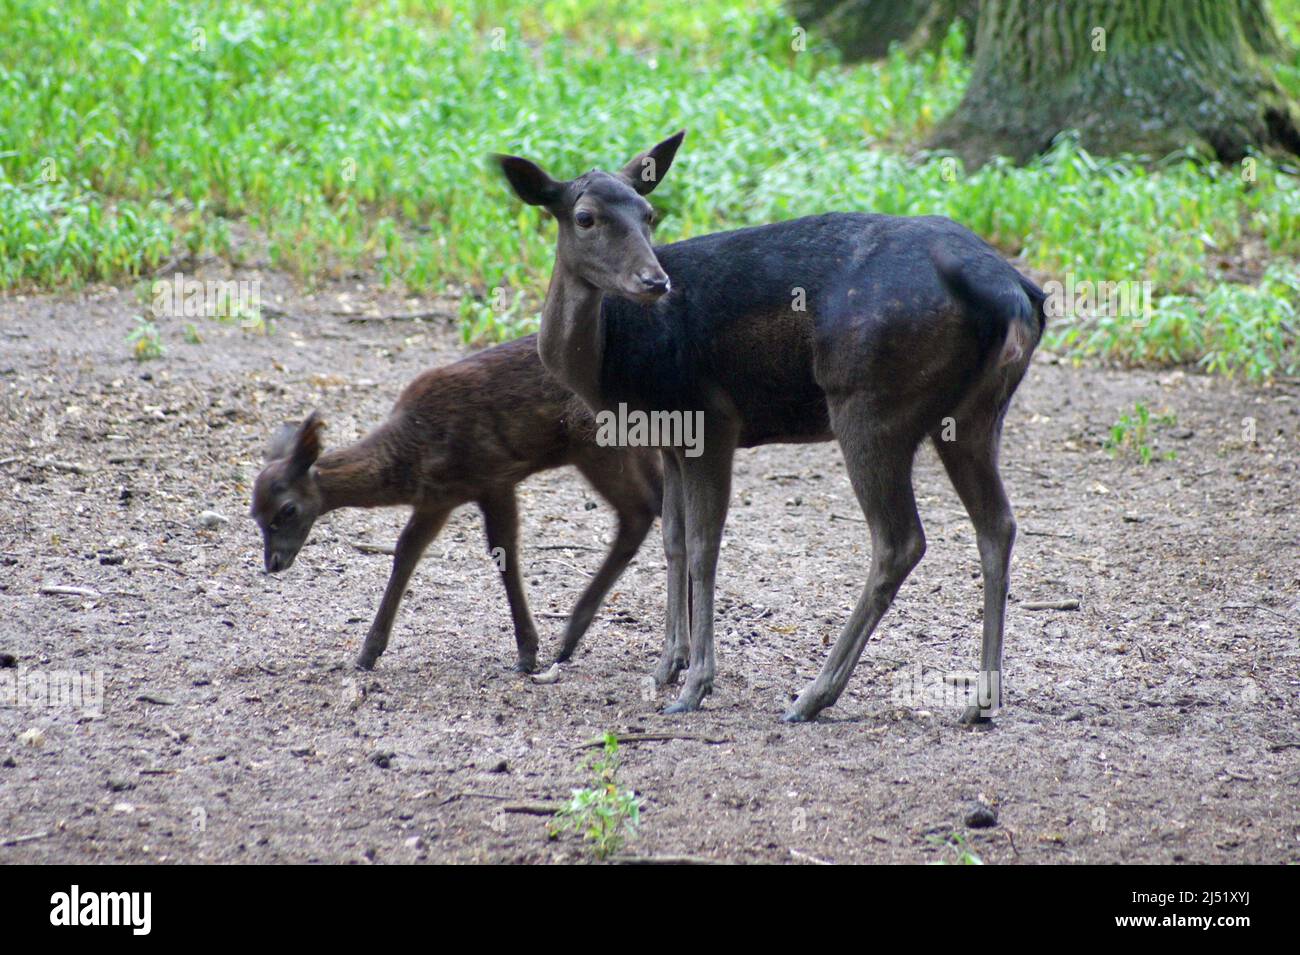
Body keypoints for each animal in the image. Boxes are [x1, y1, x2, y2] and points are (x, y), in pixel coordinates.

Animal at [249, 335, 662, 674]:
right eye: (254, 514)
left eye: (287, 509)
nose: (274, 563)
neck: (415, 454)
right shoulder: (438, 499)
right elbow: (406, 551)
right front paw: (368, 652)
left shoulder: (493, 477)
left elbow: (504, 553)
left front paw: (527, 652)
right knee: (656, 506)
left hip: (596, 444)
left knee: (639, 511)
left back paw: (572, 637)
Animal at [496, 131, 1046, 723]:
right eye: (585, 217)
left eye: (648, 214)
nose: (655, 280)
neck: (614, 361)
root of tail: (1017, 294)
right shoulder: (669, 437)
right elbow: (672, 540)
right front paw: (667, 666)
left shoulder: (711, 418)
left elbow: (703, 547)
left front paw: (696, 685)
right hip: (976, 414)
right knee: (998, 525)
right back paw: (979, 703)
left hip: (870, 401)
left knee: (900, 541)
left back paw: (813, 696)